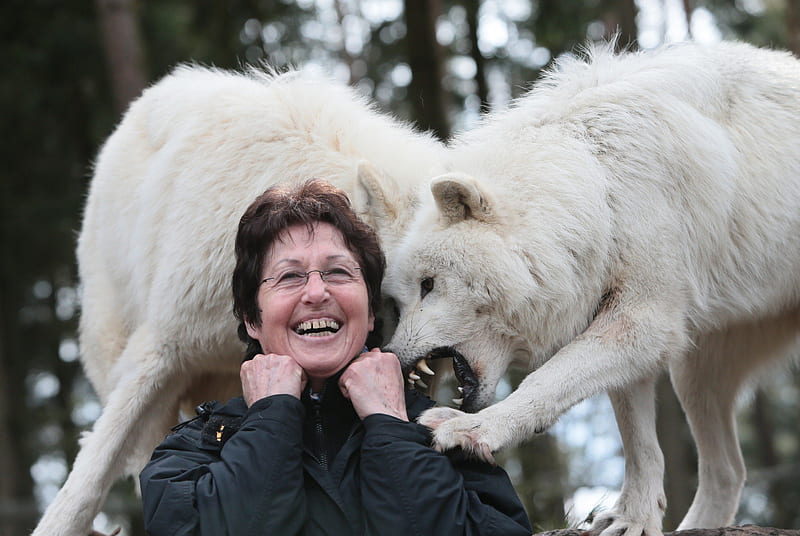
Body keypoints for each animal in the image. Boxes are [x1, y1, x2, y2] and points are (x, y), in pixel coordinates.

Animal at [370, 42, 800, 536]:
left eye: (428, 285)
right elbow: (639, 443)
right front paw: (633, 518)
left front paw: (474, 430)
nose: (393, 357)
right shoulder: (622, 316)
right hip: (696, 369)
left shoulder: (641, 318)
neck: (597, 188)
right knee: (729, 468)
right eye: (398, 301)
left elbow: (545, 380)